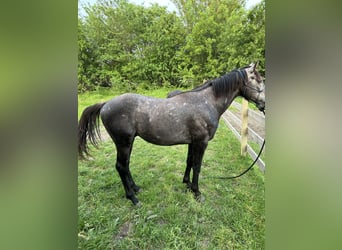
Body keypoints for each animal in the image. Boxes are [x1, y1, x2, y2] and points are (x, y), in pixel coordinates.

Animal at [77, 62, 264, 205]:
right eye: (258, 80)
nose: (263, 104)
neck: (206, 102)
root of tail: (106, 104)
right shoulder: (201, 142)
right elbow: (197, 166)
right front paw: (197, 193)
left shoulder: (192, 142)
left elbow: (189, 162)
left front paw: (187, 184)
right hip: (123, 143)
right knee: (121, 166)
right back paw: (133, 198)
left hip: (128, 143)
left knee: (126, 165)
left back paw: (136, 188)